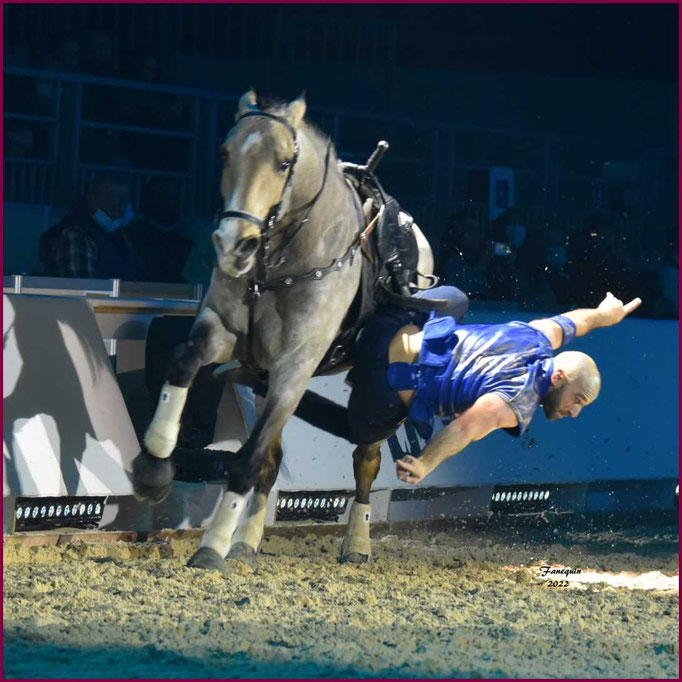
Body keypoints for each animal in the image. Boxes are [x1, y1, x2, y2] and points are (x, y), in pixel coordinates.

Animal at [132, 87, 436, 572]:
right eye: (225, 152)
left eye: (284, 163)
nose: (234, 245)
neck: (285, 263)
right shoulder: (227, 333)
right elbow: (184, 360)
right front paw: (154, 468)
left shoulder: (295, 367)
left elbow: (247, 459)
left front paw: (211, 546)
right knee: (273, 460)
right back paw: (246, 542)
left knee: (365, 456)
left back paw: (357, 542)